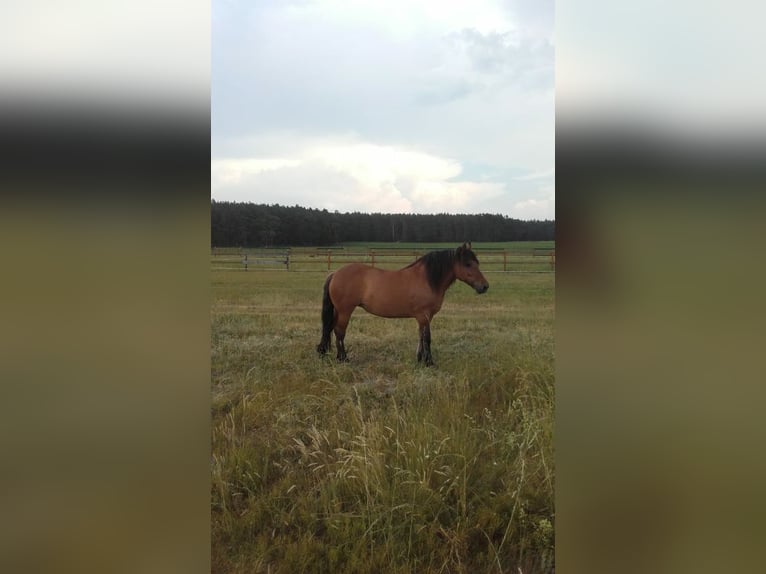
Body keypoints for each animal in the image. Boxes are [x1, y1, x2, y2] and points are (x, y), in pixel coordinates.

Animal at [318, 242, 492, 366]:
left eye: (477, 263)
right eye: (468, 264)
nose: (484, 286)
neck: (427, 279)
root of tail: (335, 273)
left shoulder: (424, 318)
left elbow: (421, 336)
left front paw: (420, 359)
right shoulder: (424, 315)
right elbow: (427, 338)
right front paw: (429, 362)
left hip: (338, 311)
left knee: (331, 329)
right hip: (345, 311)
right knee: (340, 331)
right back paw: (343, 358)